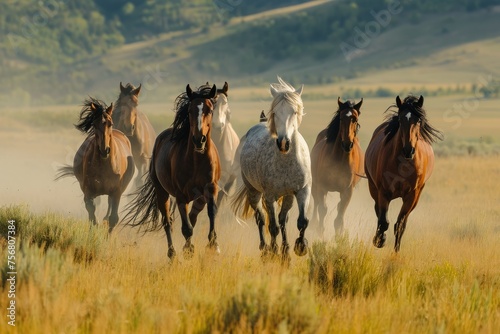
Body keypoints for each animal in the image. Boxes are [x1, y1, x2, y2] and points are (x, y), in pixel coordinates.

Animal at [55, 98, 134, 231]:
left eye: (110, 123)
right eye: (94, 124)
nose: (104, 150)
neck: (105, 166)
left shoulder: (116, 193)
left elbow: (113, 219)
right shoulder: (88, 193)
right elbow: (92, 218)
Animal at [123, 84, 221, 260]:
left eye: (209, 110)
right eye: (189, 111)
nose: (199, 140)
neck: (197, 160)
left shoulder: (210, 189)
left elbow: (211, 214)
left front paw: (213, 245)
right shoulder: (181, 196)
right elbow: (186, 228)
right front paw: (189, 250)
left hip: (199, 197)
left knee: (192, 217)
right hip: (162, 193)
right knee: (167, 222)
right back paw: (172, 254)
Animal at [232, 77, 310, 262]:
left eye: (294, 112)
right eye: (275, 112)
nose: (283, 143)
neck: (286, 161)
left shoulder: (302, 190)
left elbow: (301, 221)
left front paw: (299, 247)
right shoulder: (269, 196)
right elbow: (272, 226)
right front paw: (275, 252)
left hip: (287, 196)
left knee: (283, 220)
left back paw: (285, 250)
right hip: (254, 193)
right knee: (261, 219)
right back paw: (266, 250)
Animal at [308, 98, 364, 236]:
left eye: (355, 119)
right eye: (341, 119)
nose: (347, 144)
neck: (339, 158)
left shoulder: (347, 191)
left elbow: (339, 216)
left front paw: (339, 236)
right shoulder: (322, 187)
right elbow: (322, 209)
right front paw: (320, 233)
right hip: (315, 185)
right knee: (316, 202)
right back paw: (313, 224)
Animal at [366, 95, 444, 252]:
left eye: (418, 121)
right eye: (401, 120)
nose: (409, 150)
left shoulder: (412, 195)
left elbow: (400, 225)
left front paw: (396, 253)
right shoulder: (383, 192)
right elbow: (383, 221)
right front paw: (379, 240)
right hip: (373, 188)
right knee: (378, 212)